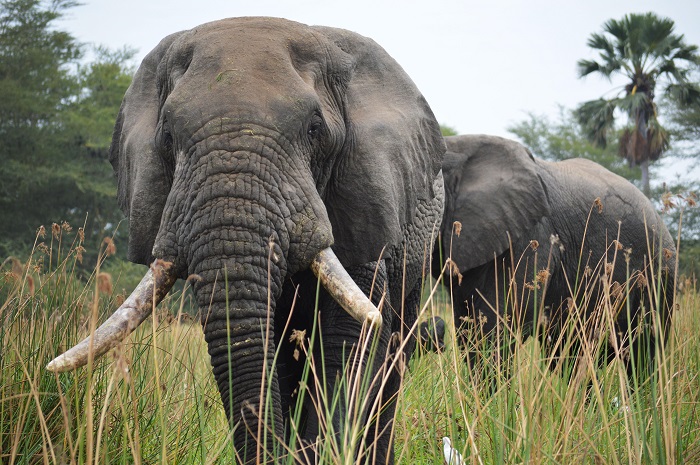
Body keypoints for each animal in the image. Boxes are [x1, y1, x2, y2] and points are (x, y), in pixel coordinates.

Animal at [46, 16, 446, 462]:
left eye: (314, 129)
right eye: (167, 136)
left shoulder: (365, 201)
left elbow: (351, 339)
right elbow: (276, 348)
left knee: (394, 348)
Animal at [434, 133, 676, 376]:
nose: (438, 334)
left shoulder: (532, 234)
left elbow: (498, 320)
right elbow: (467, 323)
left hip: (659, 274)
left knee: (644, 353)